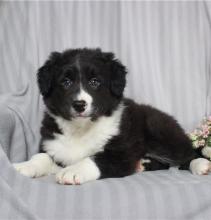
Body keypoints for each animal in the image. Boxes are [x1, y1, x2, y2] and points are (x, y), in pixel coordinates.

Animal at [13, 49, 211, 185]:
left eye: (94, 82)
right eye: (66, 82)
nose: (79, 104)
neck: (80, 129)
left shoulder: (121, 152)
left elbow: (94, 159)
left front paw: (72, 171)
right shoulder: (53, 144)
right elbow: (42, 157)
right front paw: (24, 166)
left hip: (162, 133)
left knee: (187, 153)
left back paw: (200, 164)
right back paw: (142, 164)